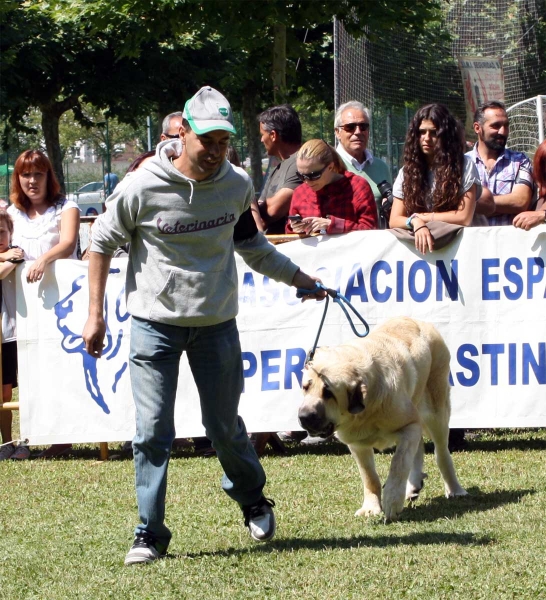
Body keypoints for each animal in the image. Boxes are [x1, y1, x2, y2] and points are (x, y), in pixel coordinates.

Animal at [296, 318, 466, 520]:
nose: (304, 417)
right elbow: (370, 477)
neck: (366, 409)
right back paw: (413, 486)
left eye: (328, 393)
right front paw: (371, 507)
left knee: (441, 452)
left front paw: (392, 500)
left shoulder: (408, 426)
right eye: (305, 387)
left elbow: (398, 464)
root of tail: (421, 322)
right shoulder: (358, 444)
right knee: (418, 448)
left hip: (435, 412)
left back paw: (454, 489)